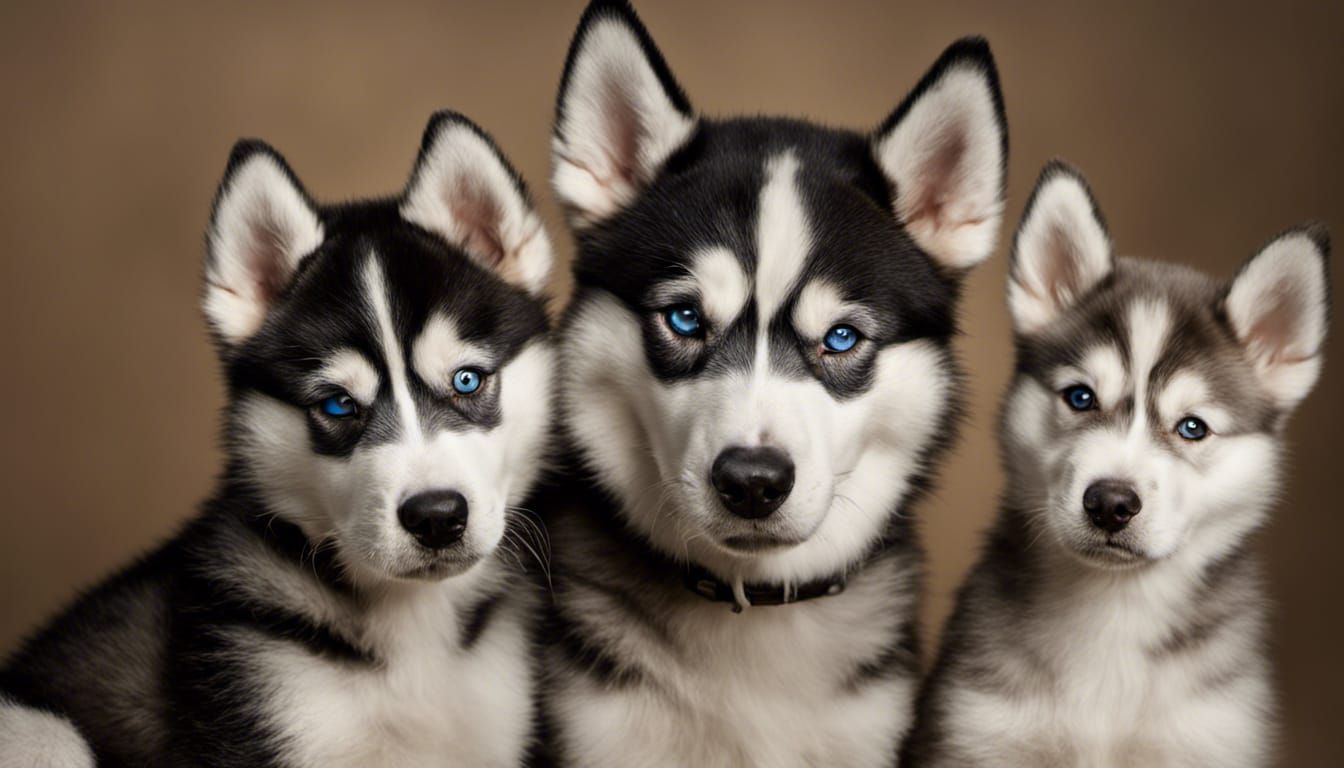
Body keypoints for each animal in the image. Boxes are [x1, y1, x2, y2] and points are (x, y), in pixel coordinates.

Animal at [903, 159, 1333, 763]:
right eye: (1081, 397)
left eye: (1192, 428)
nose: (1110, 503)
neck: (1115, 610)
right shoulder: (979, 728)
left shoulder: (1210, 734)